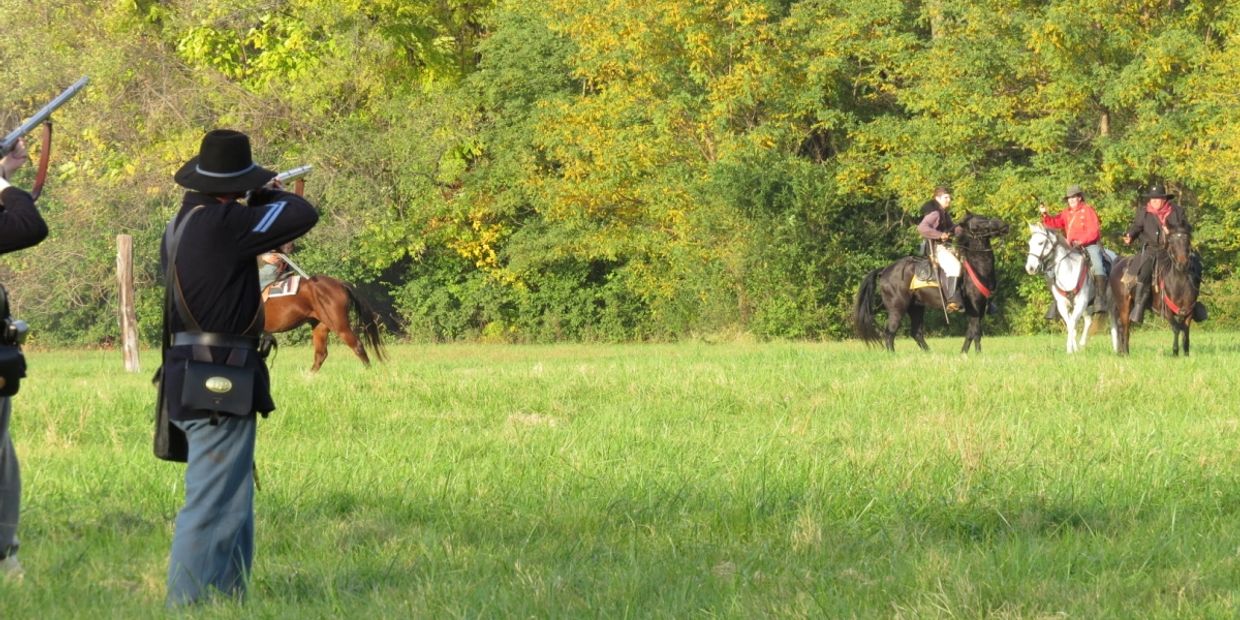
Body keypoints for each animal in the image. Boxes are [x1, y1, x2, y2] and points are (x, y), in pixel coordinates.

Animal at [853, 212, 1006, 354]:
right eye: (977, 224)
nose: (1004, 225)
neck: (976, 266)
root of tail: (884, 270)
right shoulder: (974, 306)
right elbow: (975, 332)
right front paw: (975, 354)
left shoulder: (980, 308)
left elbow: (972, 333)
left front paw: (965, 353)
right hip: (897, 308)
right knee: (890, 331)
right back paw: (892, 354)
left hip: (916, 307)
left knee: (916, 333)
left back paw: (929, 353)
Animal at [1021, 225, 1120, 354]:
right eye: (1030, 243)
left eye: (1040, 242)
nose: (1030, 268)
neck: (1069, 271)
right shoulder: (1063, 305)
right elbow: (1070, 324)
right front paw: (1073, 349)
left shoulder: (1081, 302)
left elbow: (1072, 323)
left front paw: (1070, 349)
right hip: (1087, 306)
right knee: (1088, 321)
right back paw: (1082, 343)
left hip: (1110, 303)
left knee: (1113, 322)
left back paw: (1116, 348)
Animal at [1111, 225, 1195, 357]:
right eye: (1172, 242)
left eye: (1187, 241)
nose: (1182, 264)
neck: (1179, 283)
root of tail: (1118, 264)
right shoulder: (1167, 312)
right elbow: (1176, 328)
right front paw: (1175, 351)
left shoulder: (1188, 312)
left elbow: (1185, 332)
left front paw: (1186, 354)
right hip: (1124, 306)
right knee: (1125, 328)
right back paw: (1126, 353)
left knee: (1120, 326)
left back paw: (1121, 352)